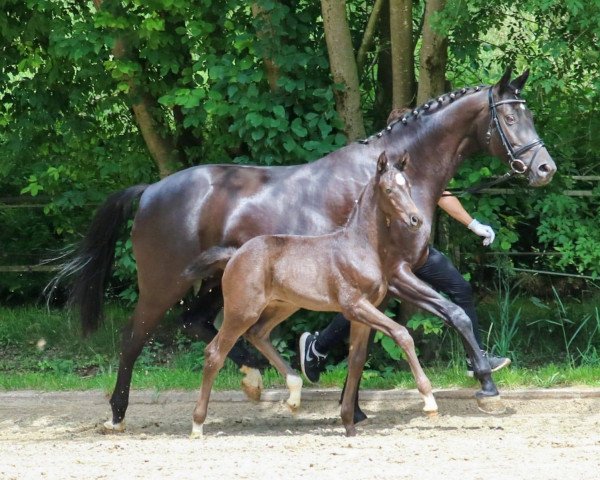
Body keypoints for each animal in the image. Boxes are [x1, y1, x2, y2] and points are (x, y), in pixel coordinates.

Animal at [190, 152, 438, 436]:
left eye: (408, 186)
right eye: (388, 190)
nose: (415, 219)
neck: (361, 247)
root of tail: (234, 255)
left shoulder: (361, 313)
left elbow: (356, 360)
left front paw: (349, 424)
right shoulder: (355, 305)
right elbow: (401, 333)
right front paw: (429, 401)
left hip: (283, 305)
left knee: (257, 334)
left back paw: (294, 393)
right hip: (242, 310)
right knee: (214, 353)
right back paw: (197, 424)